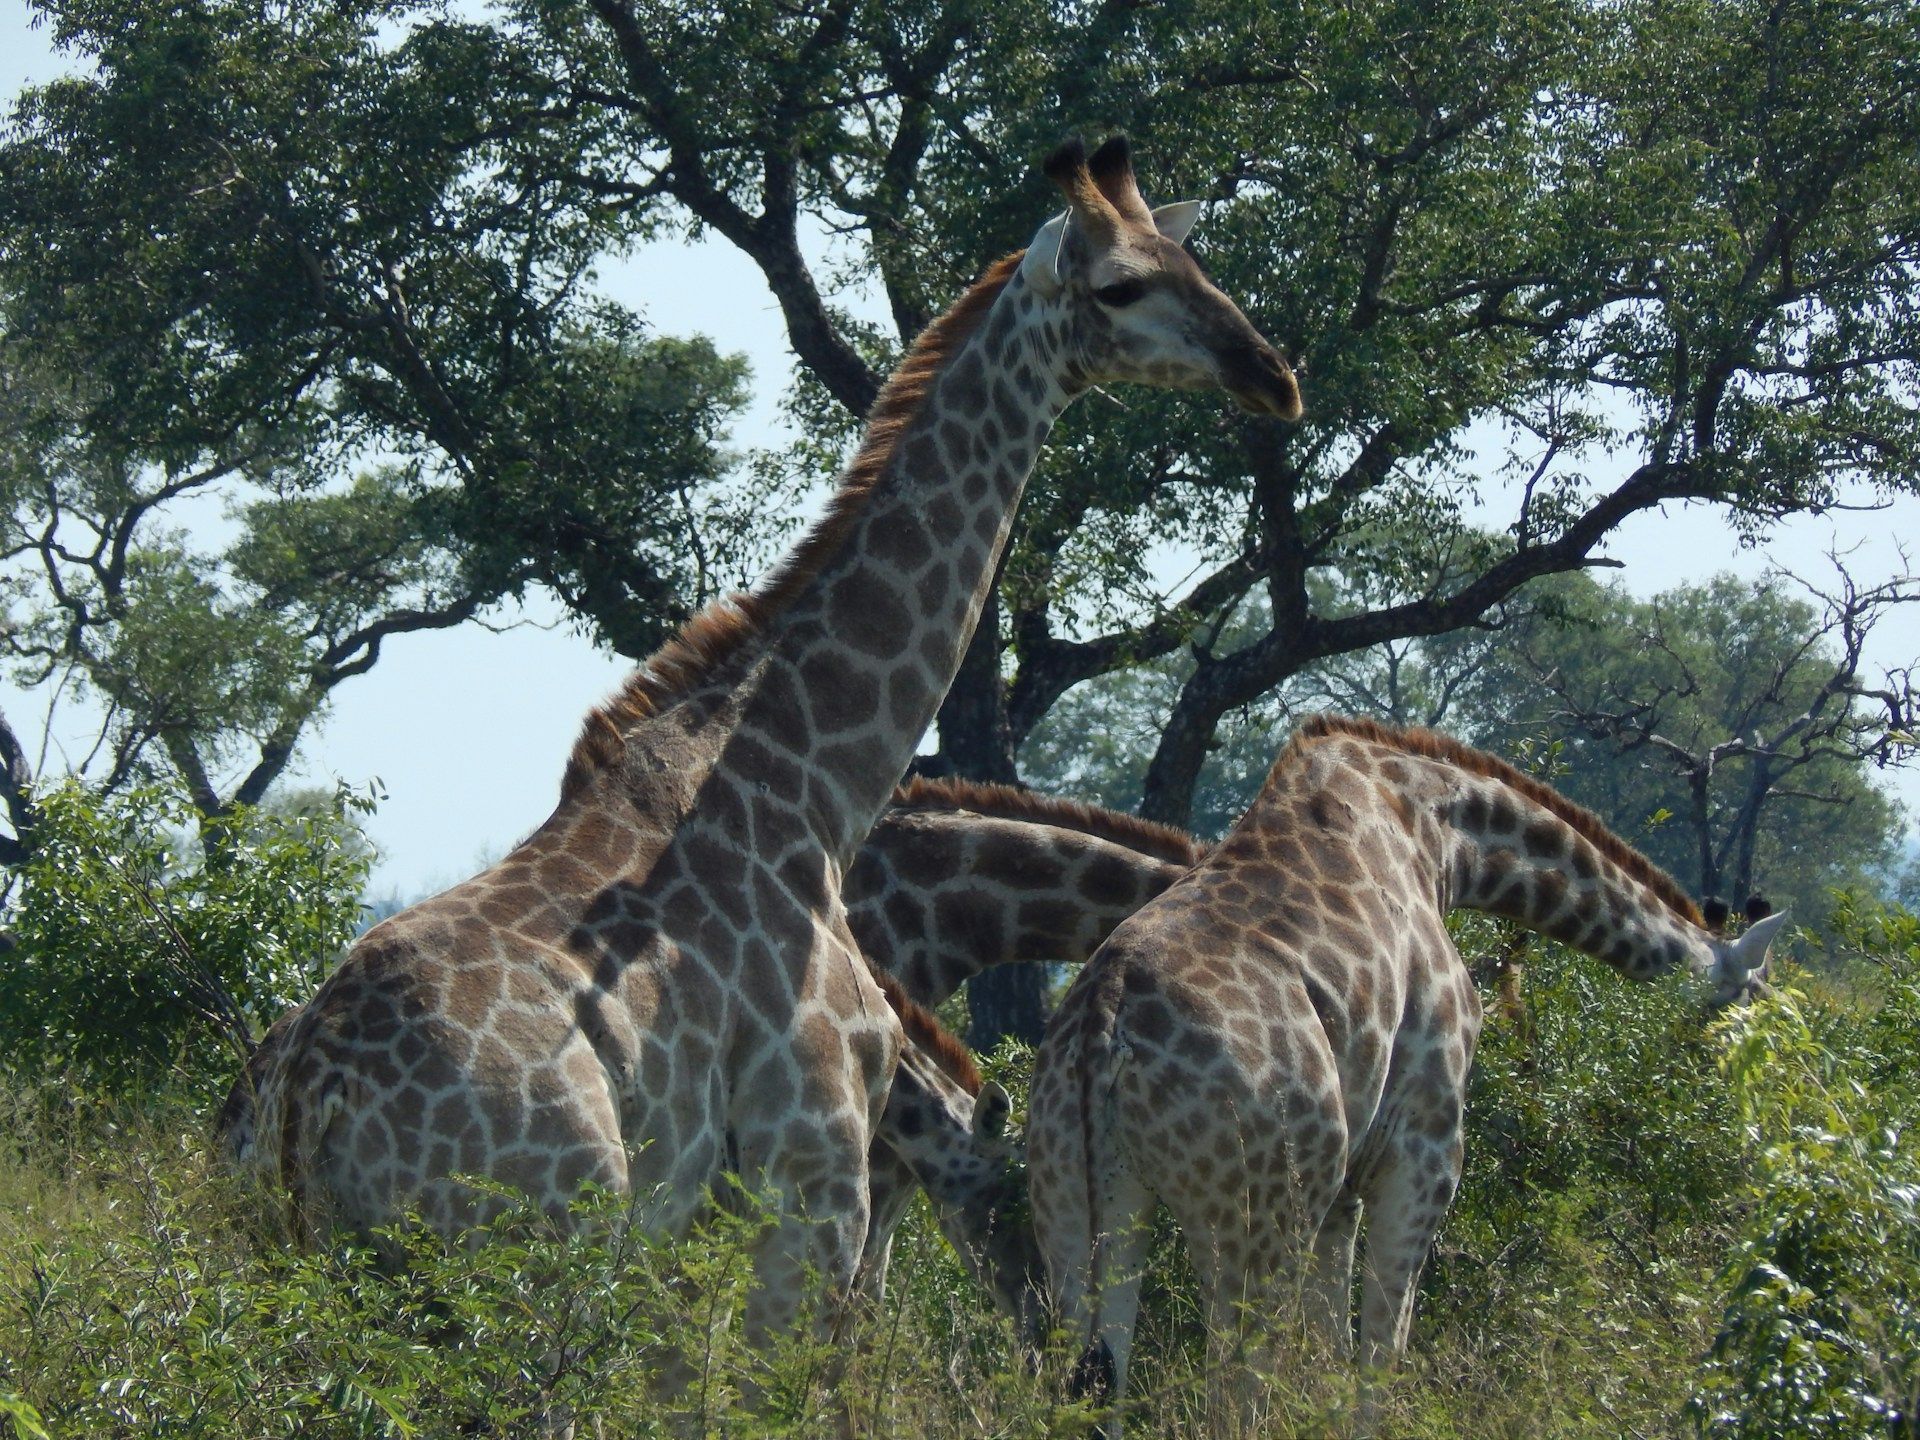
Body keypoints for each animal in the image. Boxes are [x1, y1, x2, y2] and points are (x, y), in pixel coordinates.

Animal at [239, 134, 1301, 1343]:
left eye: (1193, 260)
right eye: (1120, 287)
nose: (1274, 374)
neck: (808, 780)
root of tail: (310, 1097)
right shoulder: (819, 1153)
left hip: (325, 1275)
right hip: (539, 1253)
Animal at [1025, 714, 1787, 1431]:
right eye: (1753, 1008)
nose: (1748, 1134)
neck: (1440, 832)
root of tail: (1101, 1026)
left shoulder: (1341, 1187)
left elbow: (1330, 1360)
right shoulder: (1423, 1145)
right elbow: (1379, 1358)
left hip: (1079, 1208)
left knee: (1094, 1377)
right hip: (1253, 1216)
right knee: (1234, 1393)